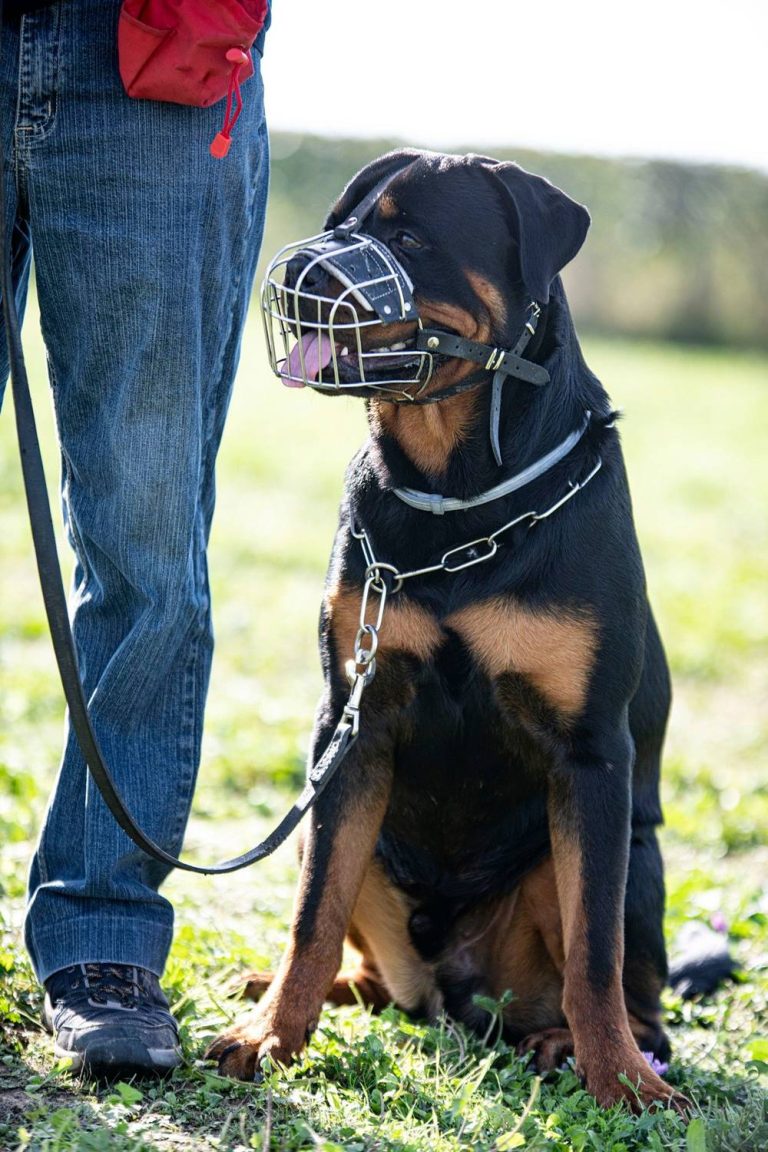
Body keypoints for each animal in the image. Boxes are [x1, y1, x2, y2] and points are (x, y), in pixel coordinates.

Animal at [206, 148, 690, 1110]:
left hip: (635, 858)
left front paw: (621, 1083)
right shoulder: (352, 725)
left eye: (411, 239)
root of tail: (453, 988)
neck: (459, 498)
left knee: (632, 990)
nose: (299, 268)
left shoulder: (592, 757)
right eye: (341, 223)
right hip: (337, 827)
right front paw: (271, 1035)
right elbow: (312, 913)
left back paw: (574, 1044)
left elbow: (596, 952)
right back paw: (297, 989)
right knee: (354, 952)